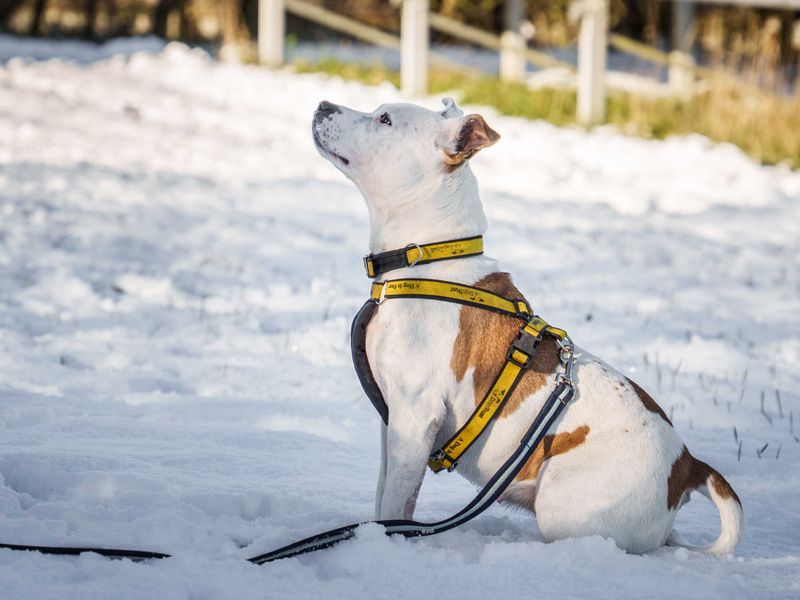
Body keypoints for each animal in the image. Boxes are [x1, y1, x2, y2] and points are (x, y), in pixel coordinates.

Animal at [310, 97, 744, 552]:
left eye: (384, 119)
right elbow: (385, 498)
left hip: (566, 508)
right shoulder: (392, 422)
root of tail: (687, 464)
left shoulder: (415, 417)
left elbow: (395, 505)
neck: (427, 261)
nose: (323, 103)